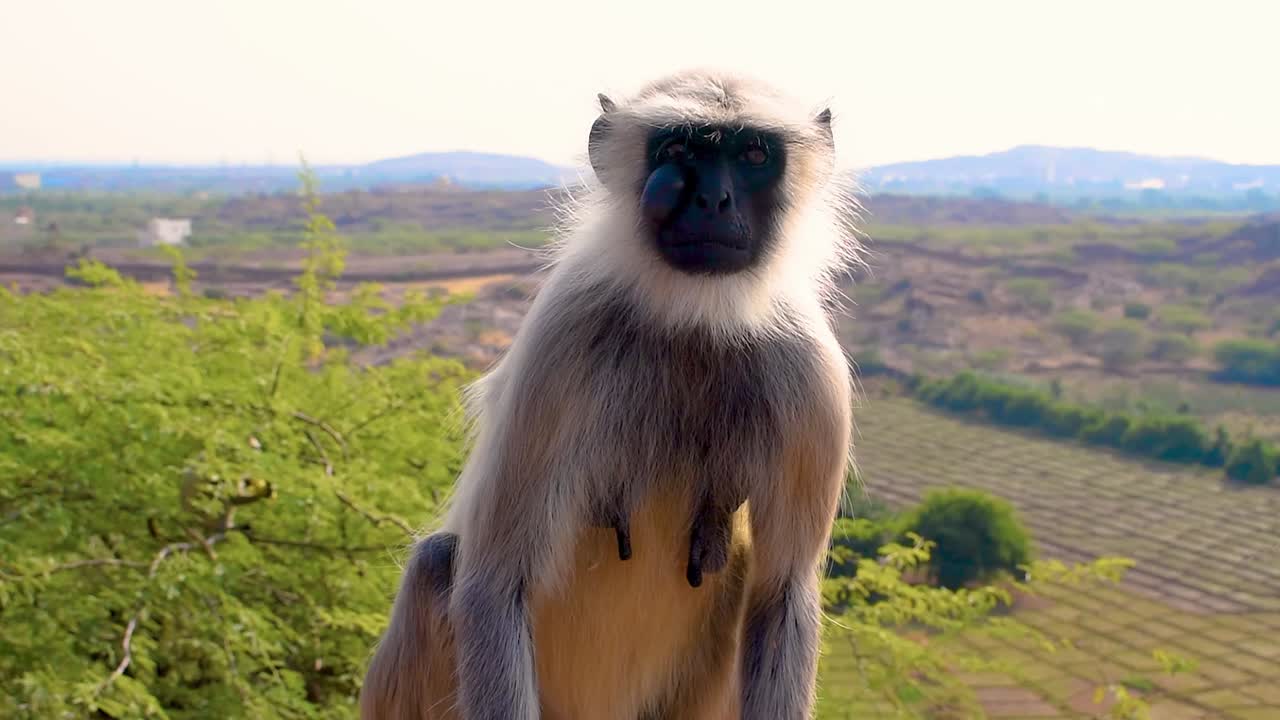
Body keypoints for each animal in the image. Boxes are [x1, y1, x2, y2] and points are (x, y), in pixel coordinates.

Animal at [360, 69, 862, 720]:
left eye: (753, 154)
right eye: (678, 151)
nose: (713, 201)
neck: (691, 319)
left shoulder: (812, 372)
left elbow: (781, 596)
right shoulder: (563, 335)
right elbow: (494, 581)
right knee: (435, 564)